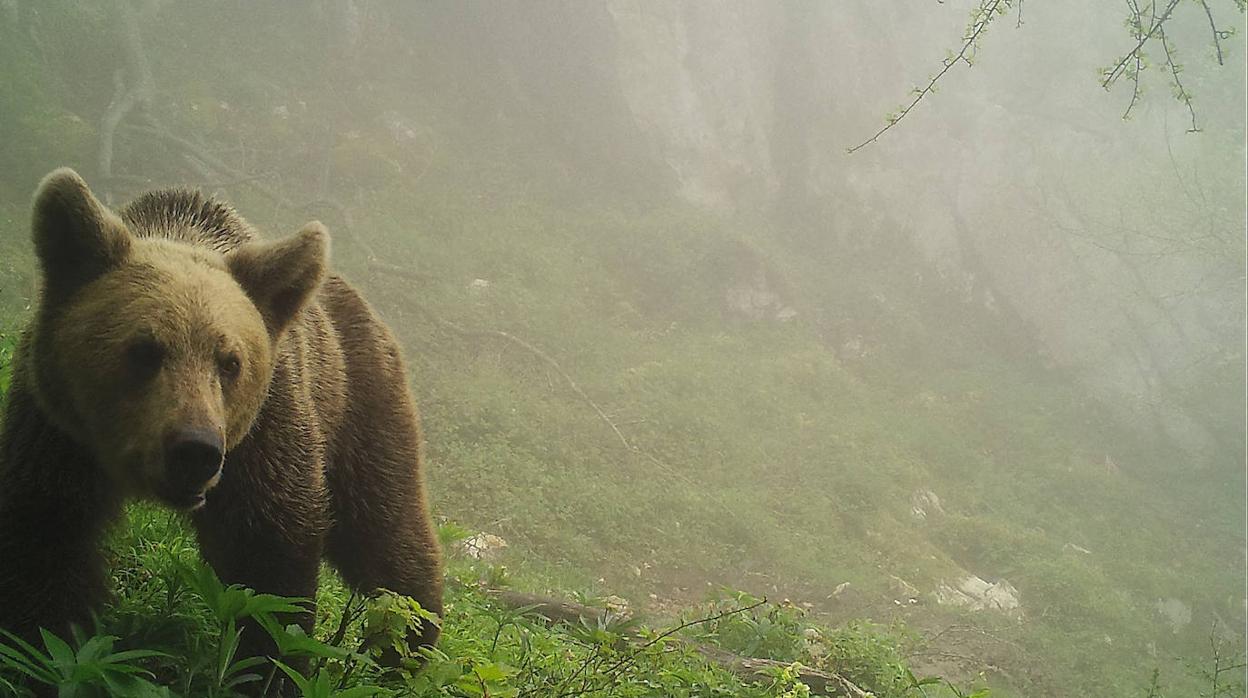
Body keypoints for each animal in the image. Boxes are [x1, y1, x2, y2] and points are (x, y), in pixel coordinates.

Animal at [0, 166, 446, 669]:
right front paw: (41, 649)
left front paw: (270, 663)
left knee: (385, 533)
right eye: (144, 350)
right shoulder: (56, 430)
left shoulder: (265, 438)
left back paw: (408, 644)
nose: (195, 450)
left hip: (362, 405)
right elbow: (46, 541)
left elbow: (270, 563)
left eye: (230, 361)